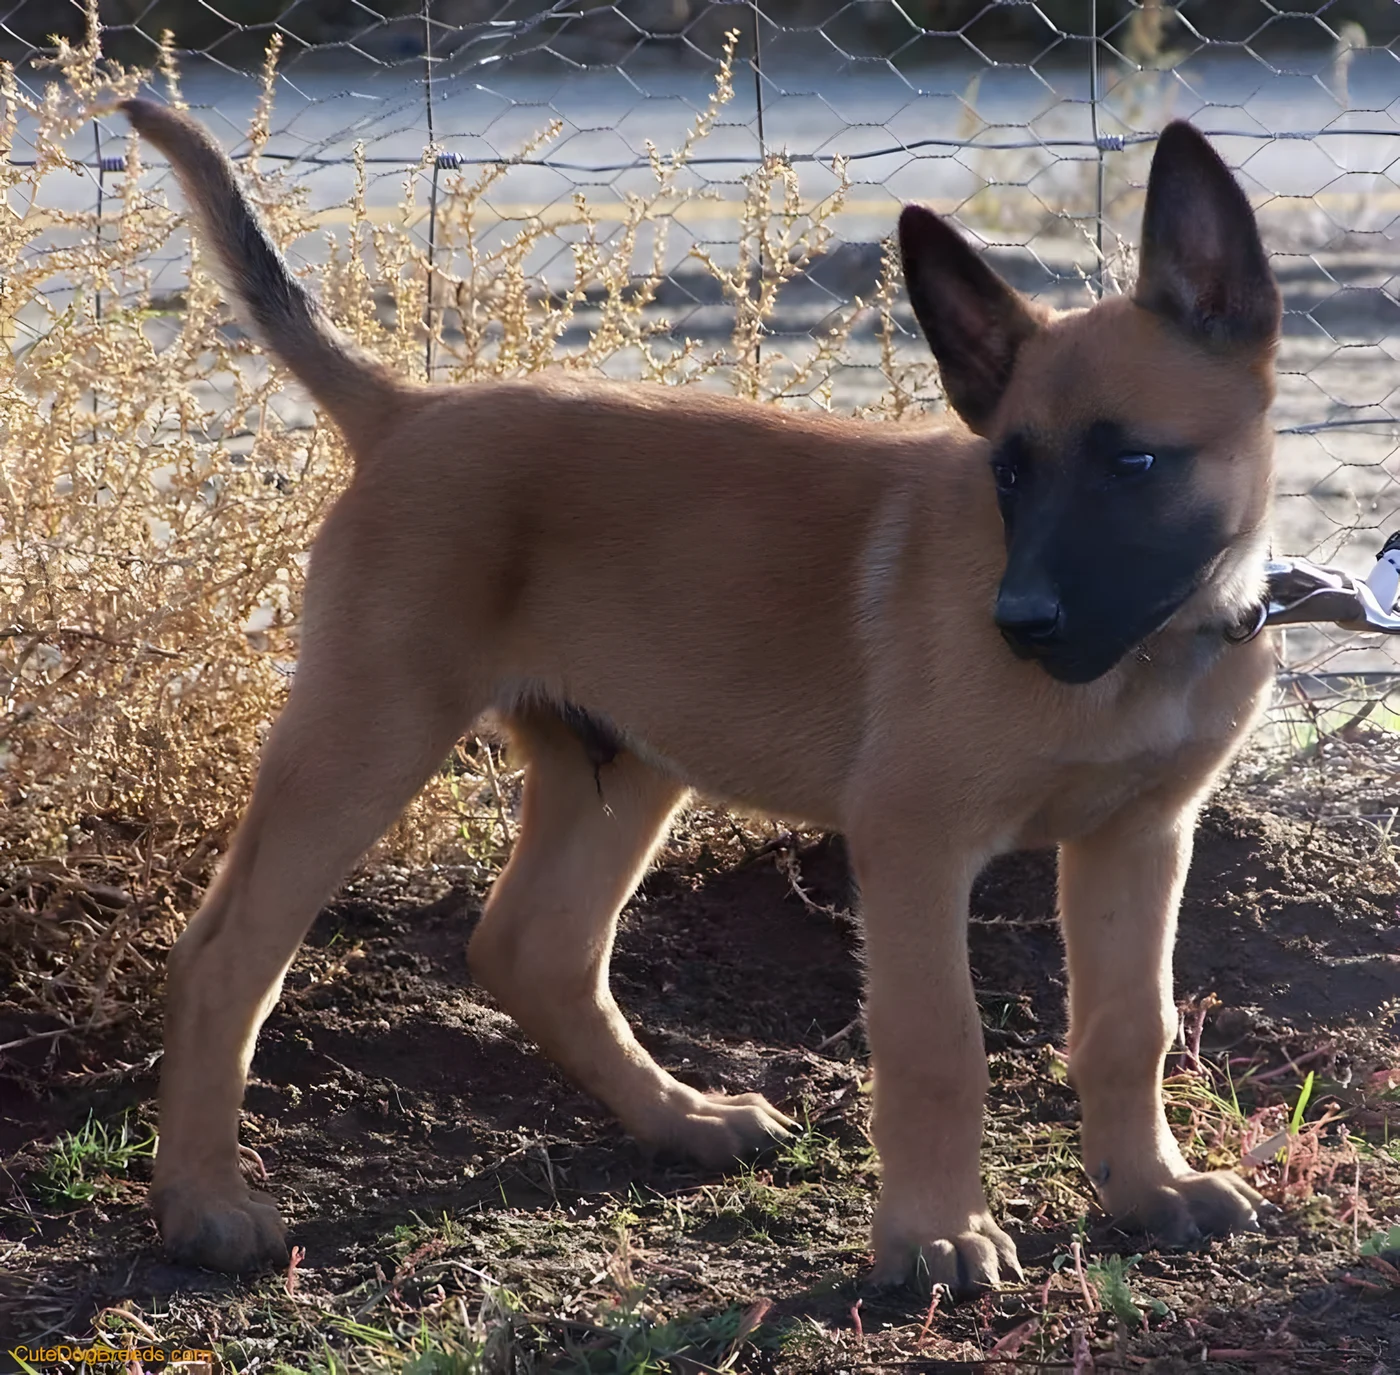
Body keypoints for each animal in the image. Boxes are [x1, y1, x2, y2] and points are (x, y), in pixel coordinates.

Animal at [120, 102, 1282, 1299]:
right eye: (1009, 472)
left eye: (1132, 464)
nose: (1020, 623)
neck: (1152, 650)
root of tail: (408, 410)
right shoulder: (913, 842)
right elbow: (936, 1045)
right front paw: (934, 1233)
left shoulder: (1138, 837)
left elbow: (1130, 1023)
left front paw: (1148, 1186)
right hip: (365, 735)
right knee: (224, 958)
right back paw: (204, 1204)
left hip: (619, 769)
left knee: (533, 949)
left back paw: (680, 1118)